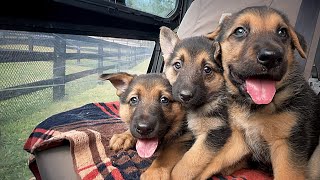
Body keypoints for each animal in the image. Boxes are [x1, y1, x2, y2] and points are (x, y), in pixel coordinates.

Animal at [205, 5, 320, 180]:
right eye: (239, 31)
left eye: (282, 32)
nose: (271, 57)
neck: (255, 107)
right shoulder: (238, 140)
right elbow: (207, 164)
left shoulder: (287, 145)